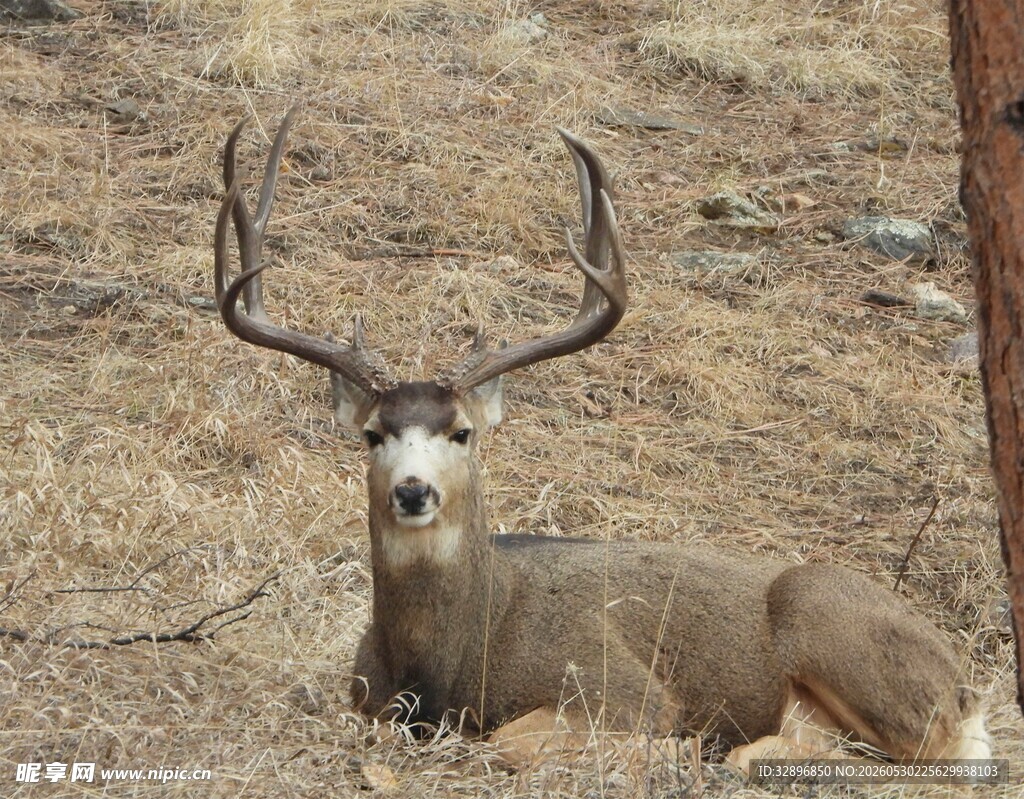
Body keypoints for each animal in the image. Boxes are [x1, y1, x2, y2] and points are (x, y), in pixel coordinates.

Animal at [212, 108, 991, 772]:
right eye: (374, 434)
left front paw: (675, 746)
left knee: (919, 750)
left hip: (825, 619)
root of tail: (964, 679)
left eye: (462, 431)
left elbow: (514, 737)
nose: (413, 491)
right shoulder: (363, 696)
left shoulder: (617, 684)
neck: (450, 660)